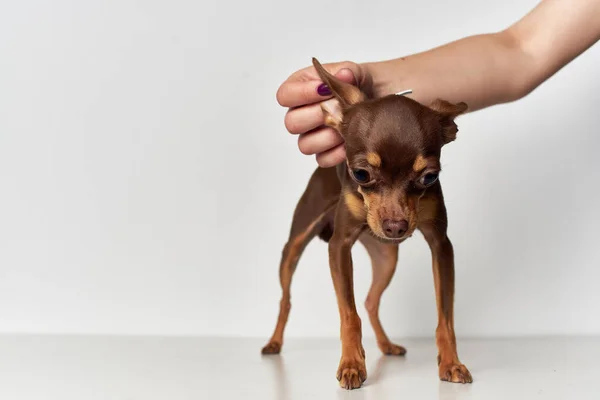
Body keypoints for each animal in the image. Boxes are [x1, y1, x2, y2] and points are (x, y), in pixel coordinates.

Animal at [262, 57, 474, 390]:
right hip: (294, 246)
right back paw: (274, 343)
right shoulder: (340, 245)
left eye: (430, 177)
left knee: (371, 301)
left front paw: (451, 362)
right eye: (360, 174)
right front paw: (351, 364)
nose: (395, 227)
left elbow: (445, 317)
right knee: (286, 299)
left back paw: (386, 345)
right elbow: (348, 314)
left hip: (386, 257)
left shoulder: (441, 246)